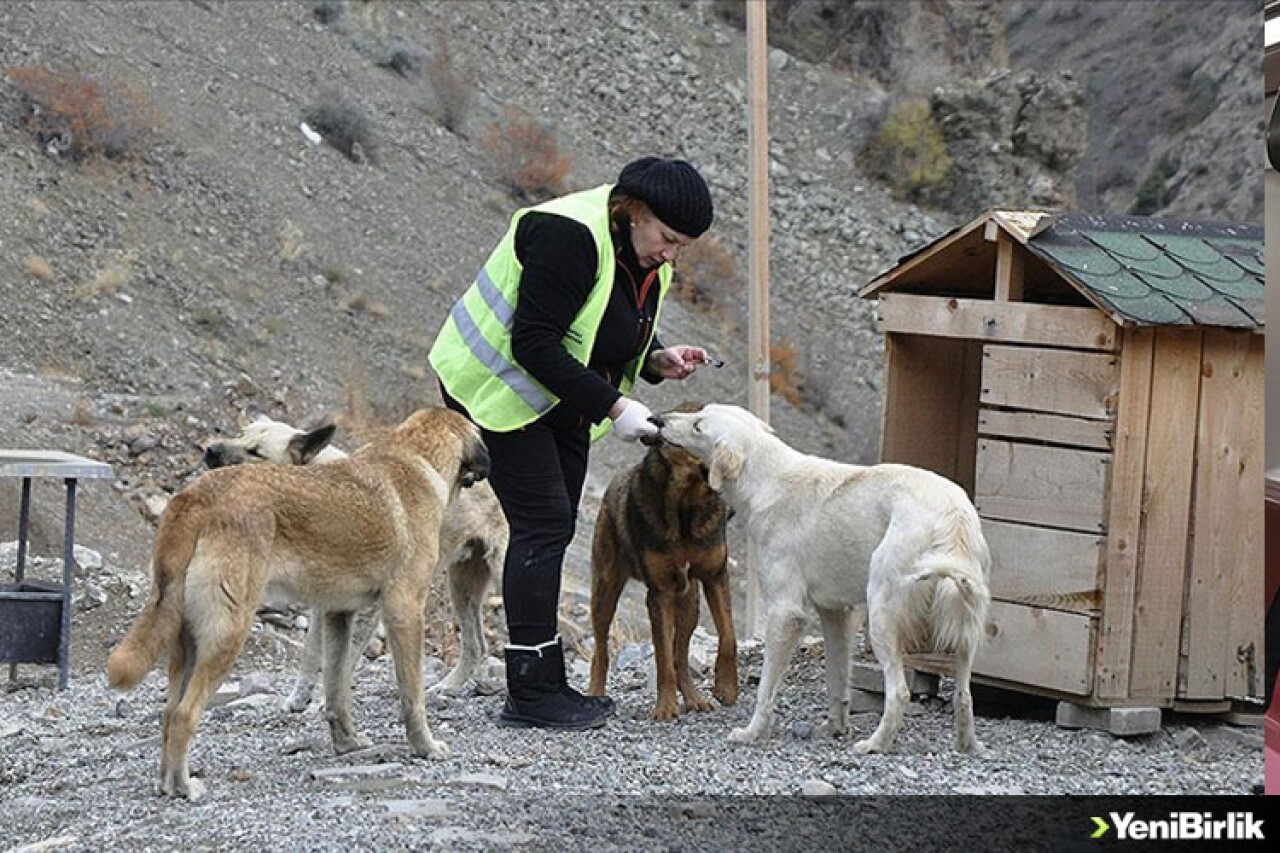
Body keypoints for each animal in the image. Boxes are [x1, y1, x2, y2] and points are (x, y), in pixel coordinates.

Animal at [202, 414, 506, 706]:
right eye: (240, 434)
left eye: (256, 452)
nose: (209, 450)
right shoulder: (326, 602)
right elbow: (311, 653)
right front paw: (299, 699)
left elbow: (342, 660)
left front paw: (324, 701)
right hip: (462, 584)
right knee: (476, 645)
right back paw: (452, 685)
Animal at [588, 409, 742, 712]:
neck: (686, 505)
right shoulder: (659, 594)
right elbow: (662, 659)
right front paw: (665, 709)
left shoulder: (715, 577)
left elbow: (729, 636)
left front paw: (726, 687)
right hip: (605, 592)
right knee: (601, 652)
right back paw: (595, 695)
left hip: (690, 604)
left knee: (680, 656)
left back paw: (695, 699)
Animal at [655, 402, 993, 753]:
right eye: (699, 412)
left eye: (698, 425)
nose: (657, 420)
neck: (766, 480)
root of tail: (952, 511)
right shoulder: (835, 613)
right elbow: (837, 678)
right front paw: (835, 727)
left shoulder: (786, 613)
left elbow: (765, 688)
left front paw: (752, 733)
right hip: (964, 628)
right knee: (964, 694)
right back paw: (968, 745)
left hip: (882, 616)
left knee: (900, 691)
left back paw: (875, 744)